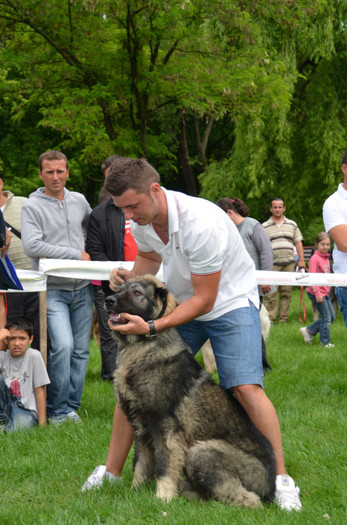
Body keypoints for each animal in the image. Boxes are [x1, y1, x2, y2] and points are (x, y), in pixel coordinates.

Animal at [106, 274, 278, 508]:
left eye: (136, 293)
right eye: (119, 288)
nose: (108, 300)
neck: (143, 349)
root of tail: (270, 486)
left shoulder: (165, 427)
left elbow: (164, 466)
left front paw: (163, 498)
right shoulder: (141, 427)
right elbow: (140, 464)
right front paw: (136, 492)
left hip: (201, 452)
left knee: (249, 500)